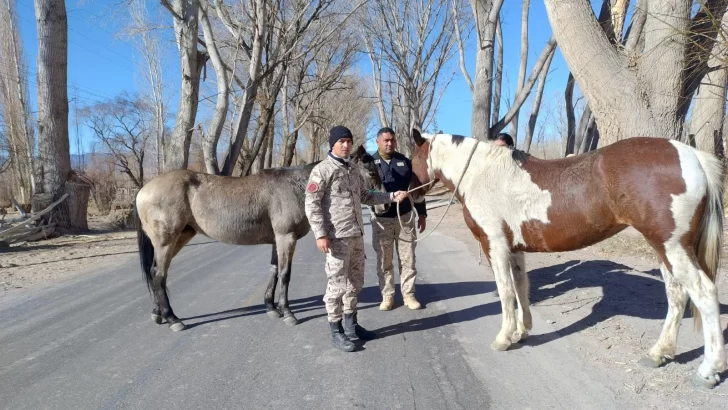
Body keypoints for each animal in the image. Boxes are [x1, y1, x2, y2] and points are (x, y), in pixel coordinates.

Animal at [407, 129, 726, 388]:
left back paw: (707, 370)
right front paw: (522, 331)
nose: (406, 196)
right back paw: (659, 354)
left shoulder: (494, 246)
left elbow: (505, 291)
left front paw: (504, 337)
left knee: (703, 293)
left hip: (672, 247)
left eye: (410, 160)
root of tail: (691, 154)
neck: (482, 174)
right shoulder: (515, 249)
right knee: (677, 295)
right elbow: (521, 288)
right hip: (665, 248)